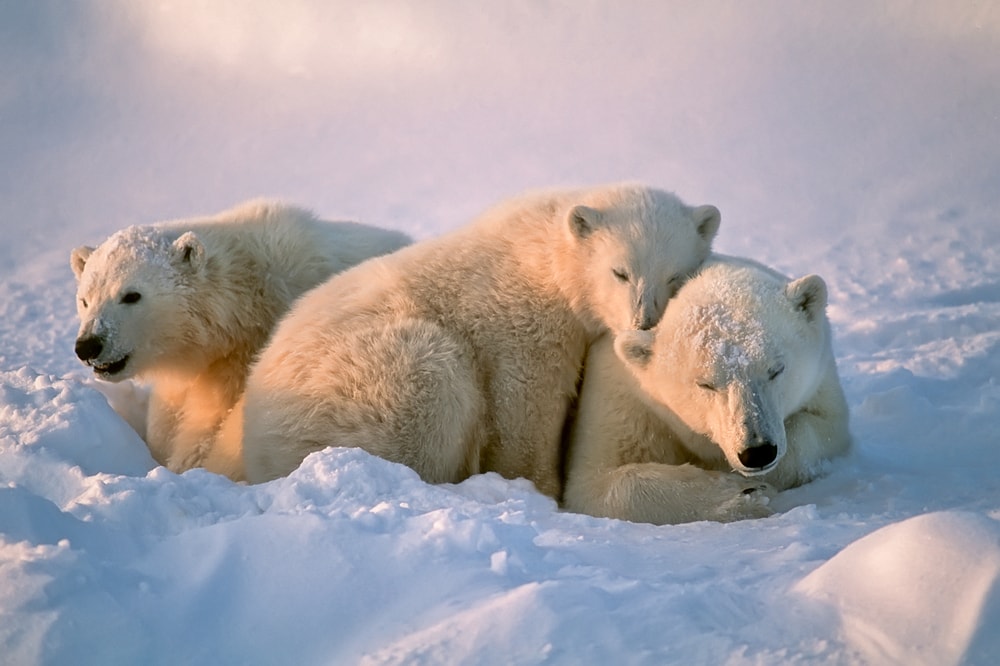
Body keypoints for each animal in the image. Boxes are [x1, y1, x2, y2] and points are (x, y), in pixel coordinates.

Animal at [240, 183, 722, 497]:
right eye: (619, 271)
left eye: (675, 276)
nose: (644, 321)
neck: (546, 257)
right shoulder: (520, 321)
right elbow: (525, 406)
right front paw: (538, 488)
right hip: (365, 383)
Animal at [563, 254, 852, 524]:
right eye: (706, 384)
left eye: (776, 370)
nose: (757, 451)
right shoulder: (623, 401)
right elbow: (595, 483)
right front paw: (741, 495)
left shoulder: (821, 381)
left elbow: (824, 431)